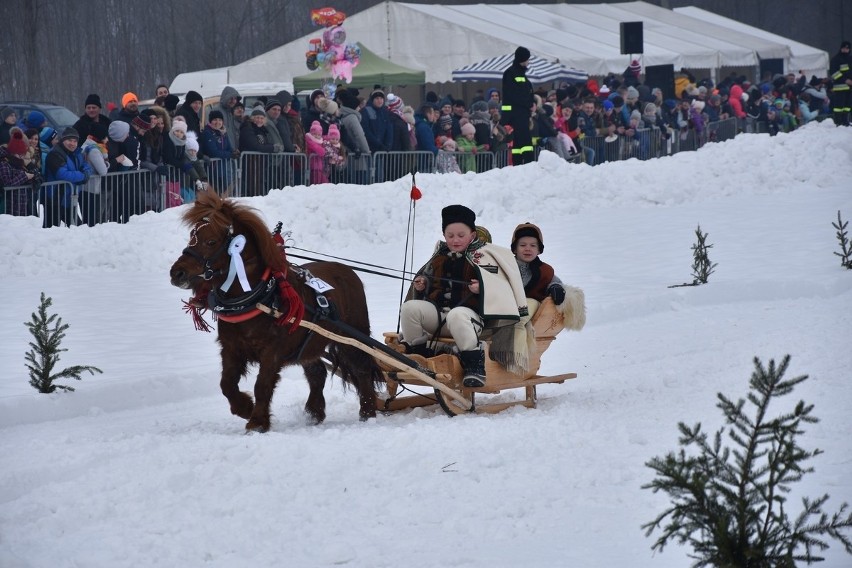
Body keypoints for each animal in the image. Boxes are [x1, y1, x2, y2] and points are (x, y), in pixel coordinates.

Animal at [169, 191, 380, 430]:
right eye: (192, 235)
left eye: (211, 241)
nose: (177, 273)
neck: (257, 297)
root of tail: (348, 271)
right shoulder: (231, 347)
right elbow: (226, 384)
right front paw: (245, 408)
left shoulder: (272, 351)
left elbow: (262, 385)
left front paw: (257, 422)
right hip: (310, 344)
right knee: (317, 373)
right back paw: (314, 413)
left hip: (352, 337)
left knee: (362, 369)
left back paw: (367, 412)